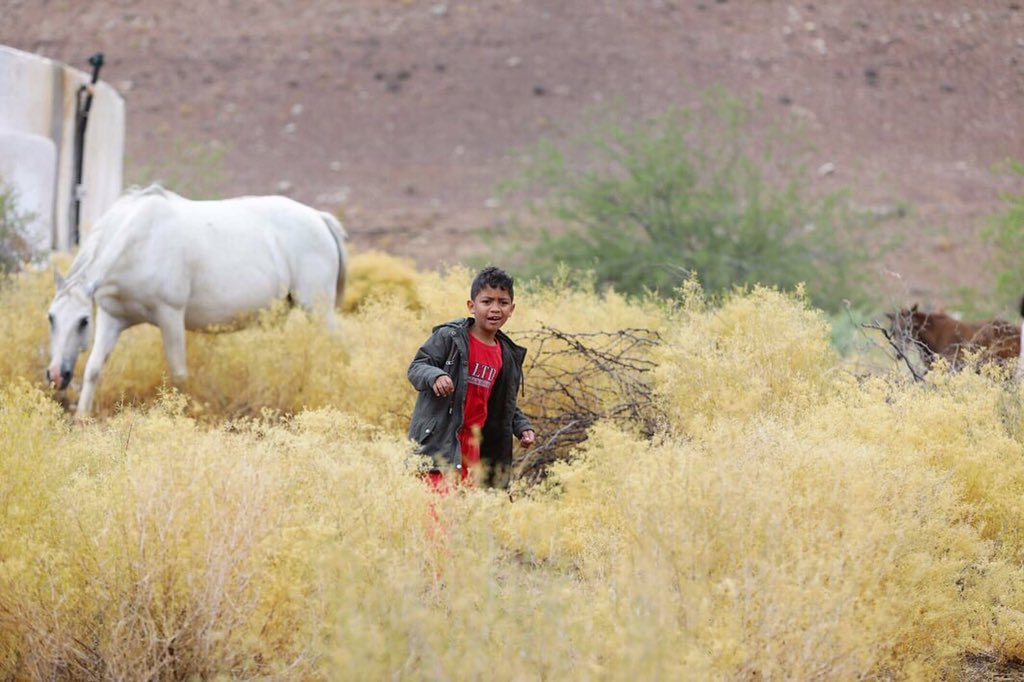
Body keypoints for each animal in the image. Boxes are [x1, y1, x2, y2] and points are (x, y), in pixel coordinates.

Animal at [47, 182, 348, 413]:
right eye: (51, 318)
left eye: (83, 321)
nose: (56, 376)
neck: (142, 241)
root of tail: (320, 218)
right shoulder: (112, 317)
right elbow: (93, 369)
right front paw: (81, 418)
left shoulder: (170, 316)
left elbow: (179, 375)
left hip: (318, 310)